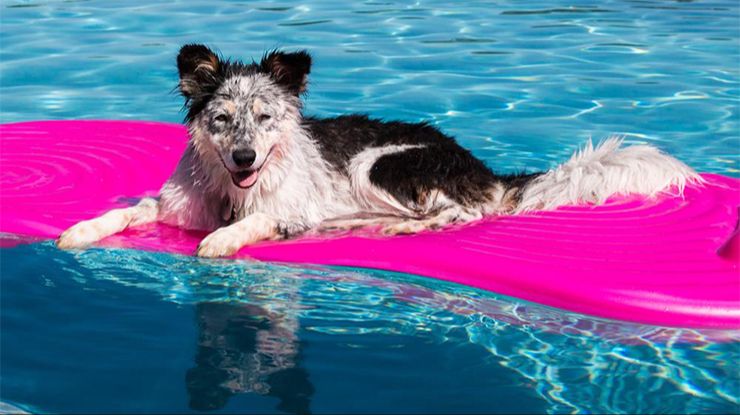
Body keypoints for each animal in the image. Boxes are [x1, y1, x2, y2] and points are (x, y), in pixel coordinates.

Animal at [56, 43, 700, 256]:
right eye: (222, 119)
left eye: (266, 118)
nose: (243, 159)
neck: (233, 191)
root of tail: (482, 168)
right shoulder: (174, 204)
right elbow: (126, 211)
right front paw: (81, 229)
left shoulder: (289, 212)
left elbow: (255, 223)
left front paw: (222, 239)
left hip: (381, 162)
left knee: (462, 213)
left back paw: (397, 226)